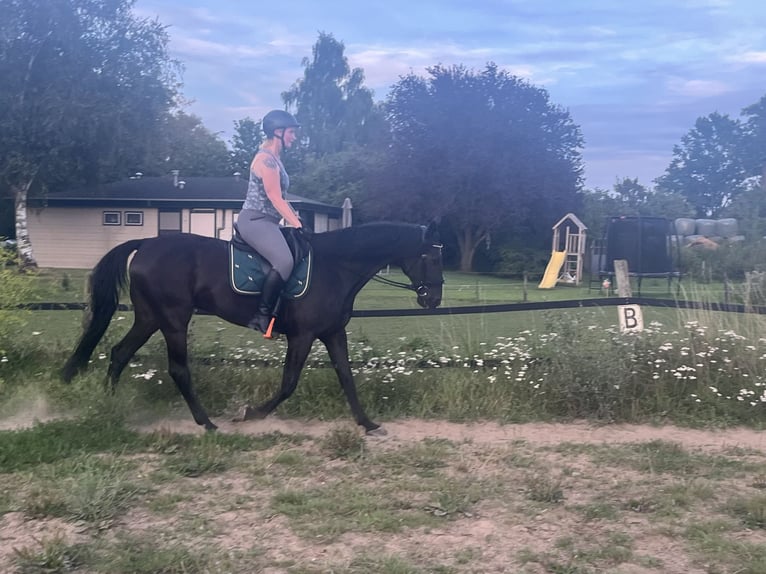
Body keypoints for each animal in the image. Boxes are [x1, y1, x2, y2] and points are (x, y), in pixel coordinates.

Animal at [63, 223, 448, 434]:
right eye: (431, 257)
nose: (433, 299)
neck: (336, 266)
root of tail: (146, 243)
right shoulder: (303, 335)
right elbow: (289, 383)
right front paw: (250, 413)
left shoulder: (332, 333)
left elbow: (346, 377)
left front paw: (367, 424)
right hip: (173, 319)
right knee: (178, 369)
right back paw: (207, 423)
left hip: (149, 318)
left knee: (119, 353)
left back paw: (110, 407)